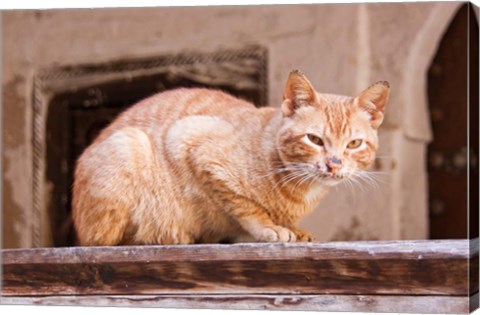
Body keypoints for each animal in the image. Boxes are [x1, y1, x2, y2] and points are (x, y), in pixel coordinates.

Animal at [72, 70, 390, 246]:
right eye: (314, 139)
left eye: (354, 144)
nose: (334, 165)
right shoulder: (193, 143)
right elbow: (246, 207)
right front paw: (270, 227)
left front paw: (293, 228)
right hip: (129, 144)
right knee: (102, 241)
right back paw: (169, 234)